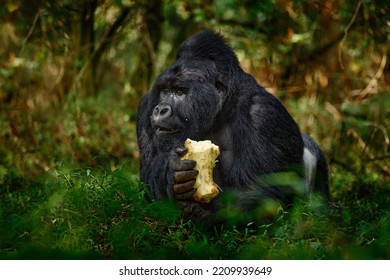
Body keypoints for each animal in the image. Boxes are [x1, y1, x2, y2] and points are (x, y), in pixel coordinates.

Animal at [136, 30, 330, 228]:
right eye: (165, 91)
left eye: (180, 92)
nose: (161, 109)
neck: (220, 109)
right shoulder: (146, 106)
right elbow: (147, 176)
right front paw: (170, 169)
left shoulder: (264, 113)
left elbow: (259, 189)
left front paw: (205, 214)